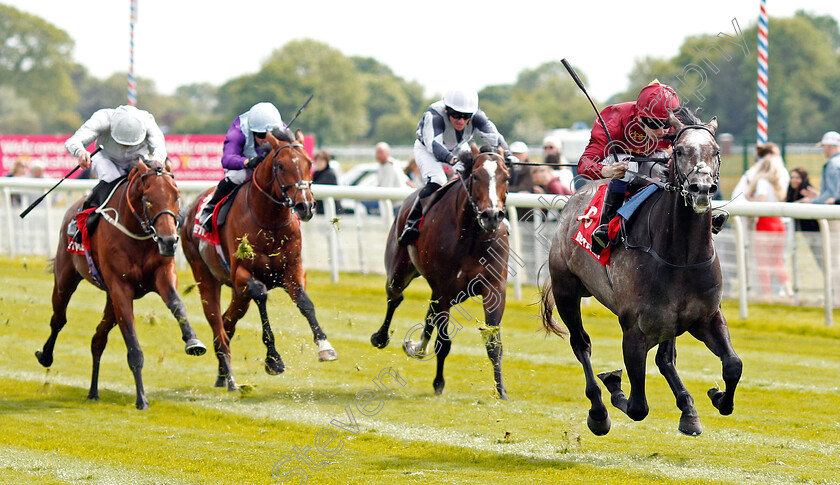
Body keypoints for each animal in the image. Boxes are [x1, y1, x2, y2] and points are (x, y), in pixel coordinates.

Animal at [35, 159, 207, 408]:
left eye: (177, 196)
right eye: (148, 199)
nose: (169, 241)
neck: (137, 234)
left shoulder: (162, 274)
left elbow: (177, 304)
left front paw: (192, 340)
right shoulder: (121, 288)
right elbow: (133, 346)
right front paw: (141, 399)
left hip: (110, 301)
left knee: (98, 338)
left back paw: (93, 391)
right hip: (66, 279)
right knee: (58, 318)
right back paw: (46, 356)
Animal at [181, 127, 338, 390]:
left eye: (309, 163)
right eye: (281, 165)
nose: (305, 206)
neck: (269, 221)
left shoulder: (293, 270)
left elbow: (305, 303)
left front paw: (325, 347)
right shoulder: (242, 274)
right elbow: (261, 294)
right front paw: (273, 359)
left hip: (238, 294)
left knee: (227, 322)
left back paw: (222, 375)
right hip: (205, 276)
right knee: (217, 323)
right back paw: (229, 377)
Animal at [372, 143, 512, 398]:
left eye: (505, 177)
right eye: (475, 176)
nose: (491, 215)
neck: (472, 237)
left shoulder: (494, 288)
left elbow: (493, 343)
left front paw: (502, 392)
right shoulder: (444, 290)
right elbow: (444, 343)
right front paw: (438, 383)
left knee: (428, 311)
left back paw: (416, 347)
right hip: (400, 270)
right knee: (395, 297)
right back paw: (381, 337)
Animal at [540, 110, 740, 434]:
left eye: (717, 151)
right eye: (679, 150)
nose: (701, 188)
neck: (680, 256)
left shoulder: (707, 317)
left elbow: (733, 365)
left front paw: (718, 396)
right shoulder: (634, 330)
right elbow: (637, 407)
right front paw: (613, 384)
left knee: (666, 358)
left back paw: (688, 409)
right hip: (565, 289)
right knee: (581, 343)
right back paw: (598, 411)